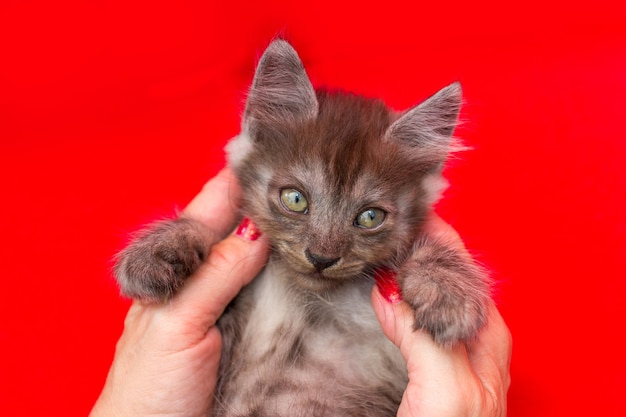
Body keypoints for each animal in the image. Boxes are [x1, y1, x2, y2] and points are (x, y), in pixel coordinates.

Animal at [114, 39, 490, 416]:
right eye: (294, 199)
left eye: (370, 217)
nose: (322, 257)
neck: (308, 299)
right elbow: (211, 233)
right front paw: (159, 250)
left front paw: (448, 291)